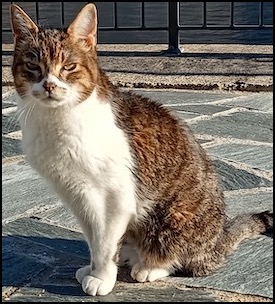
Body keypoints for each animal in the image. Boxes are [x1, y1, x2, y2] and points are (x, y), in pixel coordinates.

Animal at [9, 2, 272, 296]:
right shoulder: (77, 196)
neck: (57, 121)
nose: (50, 85)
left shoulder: (114, 197)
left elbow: (104, 244)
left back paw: (148, 266)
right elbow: (94, 240)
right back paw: (131, 256)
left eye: (69, 66)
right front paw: (92, 268)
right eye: (33, 66)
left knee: (182, 259)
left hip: (172, 217)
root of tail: (218, 239)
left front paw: (101, 277)